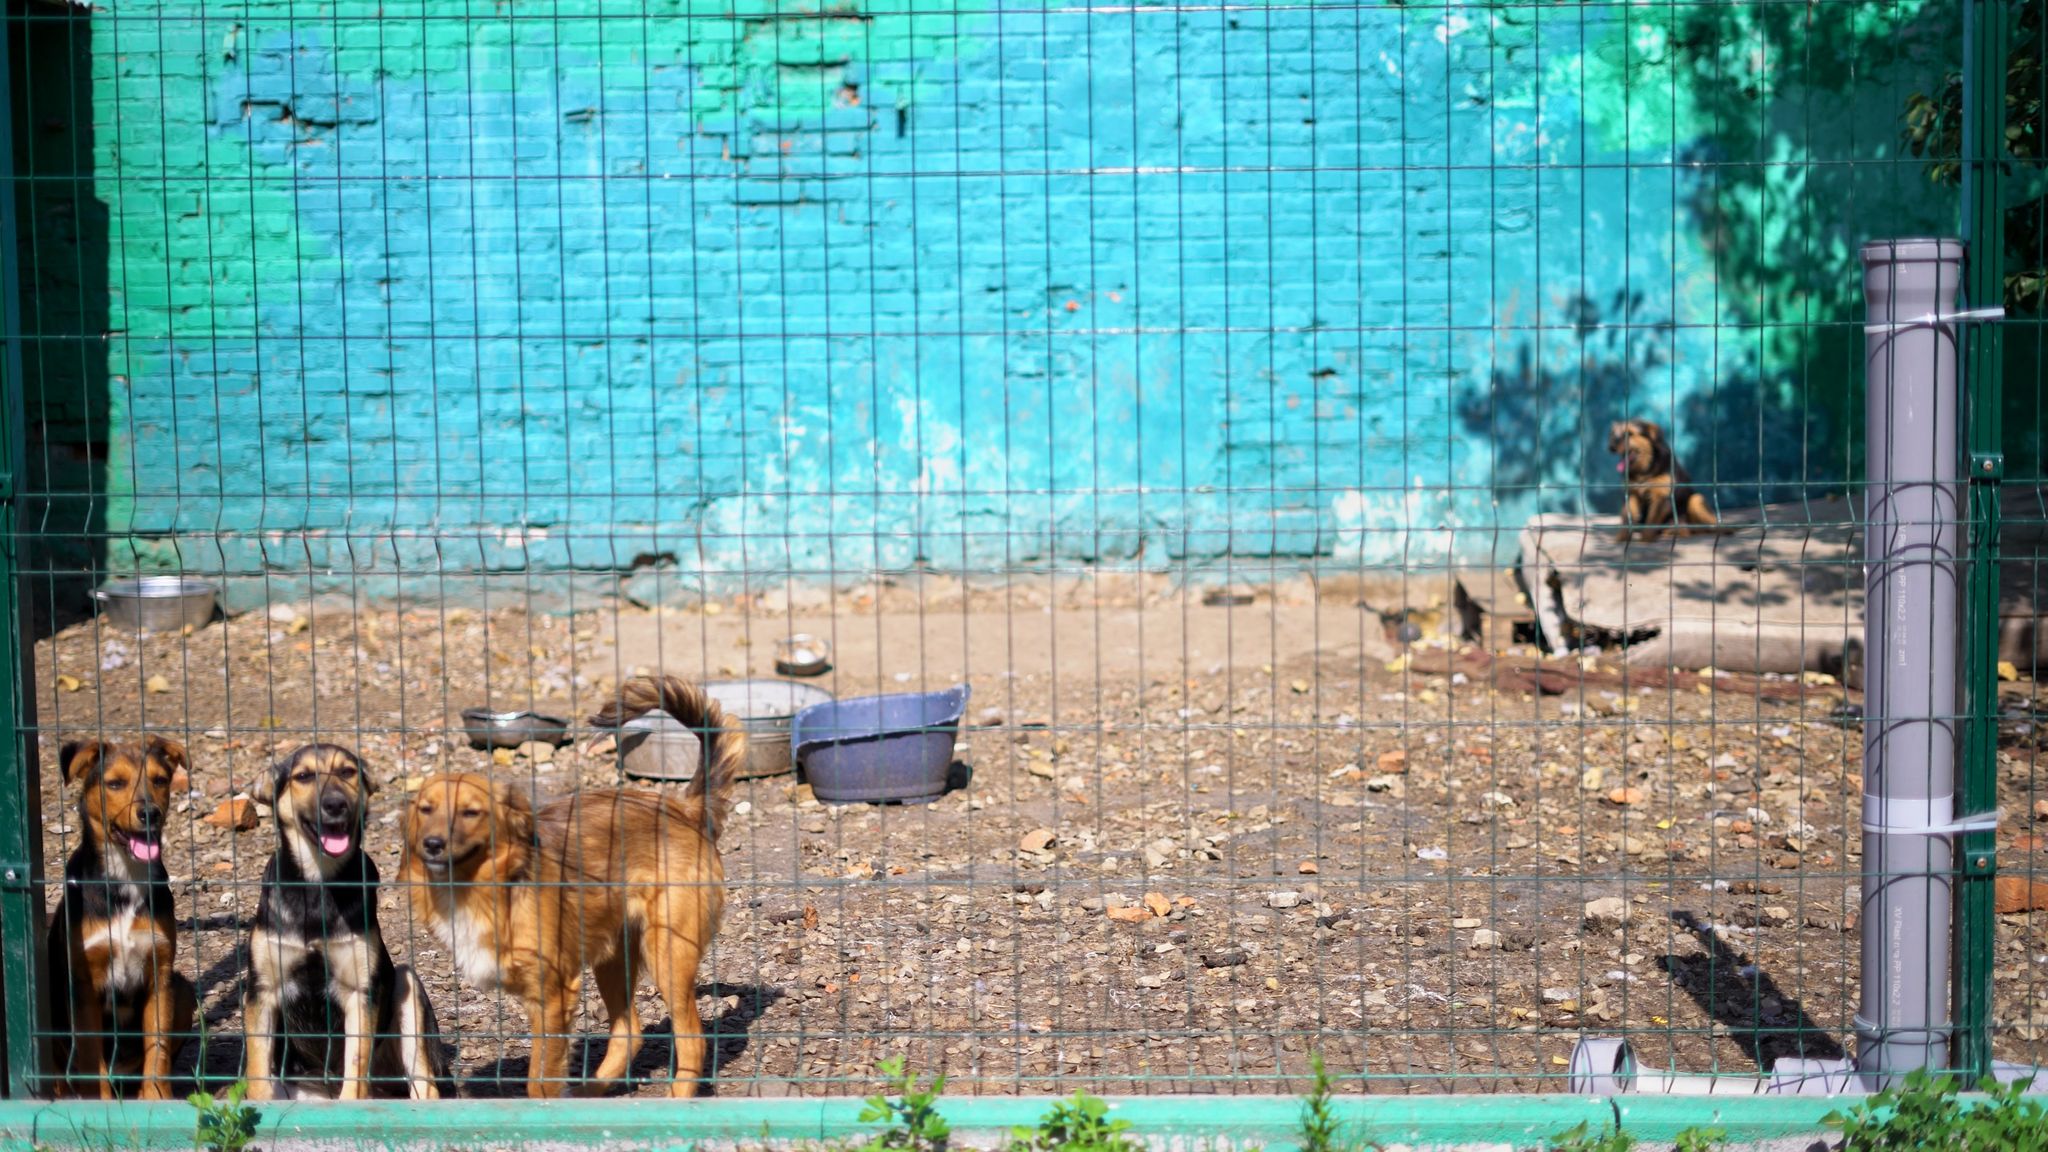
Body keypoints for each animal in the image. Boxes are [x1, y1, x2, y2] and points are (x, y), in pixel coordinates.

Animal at [45, 733, 197, 1090]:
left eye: (160, 780)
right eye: (115, 783)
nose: (149, 813)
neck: (126, 876)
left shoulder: (160, 974)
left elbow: (158, 1053)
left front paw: (157, 1099)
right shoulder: (85, 985)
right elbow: (93, 1063)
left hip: (183, 988)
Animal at [241, 737, 446, 1098]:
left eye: (347, 772)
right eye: (303, 776)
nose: (335, 804)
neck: (318, 883)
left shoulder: (360, 994)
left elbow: (355, 1068)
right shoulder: (260, 992)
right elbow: (257, 1074)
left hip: (407, 985)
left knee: (424, 1086)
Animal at [395, 672, 741, 1090]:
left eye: (470, 812)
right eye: (425, 810)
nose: (432, 844)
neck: (482, 889)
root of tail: (686, 809)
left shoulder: (552, 994)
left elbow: (539, 1080)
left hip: (668, 952)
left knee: (692, 1040)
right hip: (613, 955)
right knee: (629, 1031)